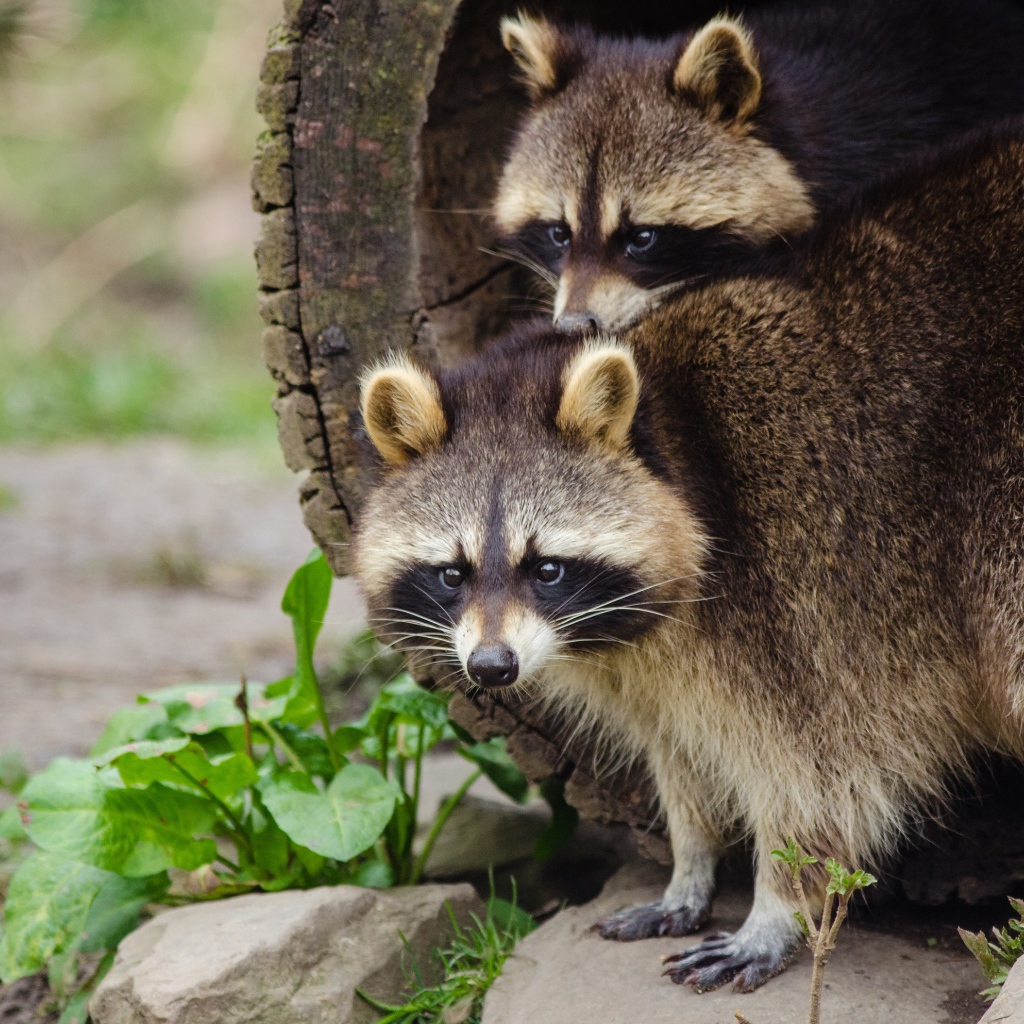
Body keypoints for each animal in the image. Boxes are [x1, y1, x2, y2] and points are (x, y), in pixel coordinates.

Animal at [356, 123, 1024, 995]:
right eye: (452, 573)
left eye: (546, 568)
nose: (493, 668)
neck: (670, 429)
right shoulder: (648, 669)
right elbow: (680, 760)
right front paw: (691, 862)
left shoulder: (802, 598)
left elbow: (822, 774)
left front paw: (777, 904)